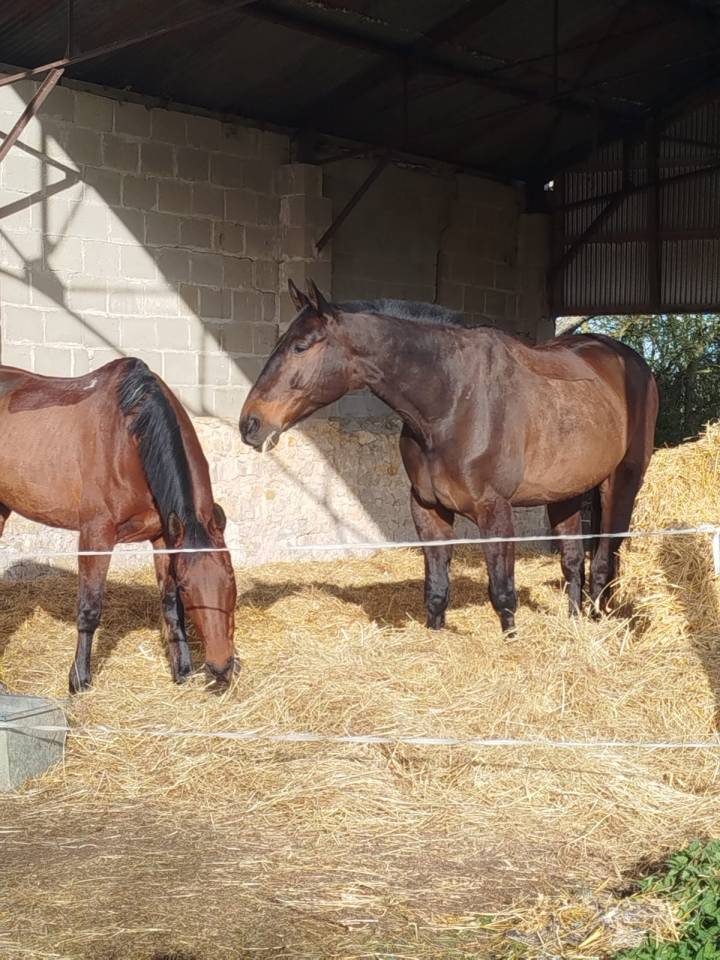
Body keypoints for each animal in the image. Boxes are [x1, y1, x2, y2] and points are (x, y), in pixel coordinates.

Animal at [0, 357, 237, 692]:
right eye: (188, 588)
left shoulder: (164, 538)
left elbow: (170, 606)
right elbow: (90, 608)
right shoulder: (96, 536)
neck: (130, 439)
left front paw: (182, 671)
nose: (221, 667)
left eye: (231, 579)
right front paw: (79, 680)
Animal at [239, 280, 658, 635]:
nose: (250, 424)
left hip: (621, 483)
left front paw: (512, 643)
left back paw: (598, 622)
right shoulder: (428, 507)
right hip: (565, 492)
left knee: (604, 560)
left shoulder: (495, 510)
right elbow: (437, 588)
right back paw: (574, 622)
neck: (453, 399)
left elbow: (502, 591)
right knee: (572, 561)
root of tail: (631, 362)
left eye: (301, 346)